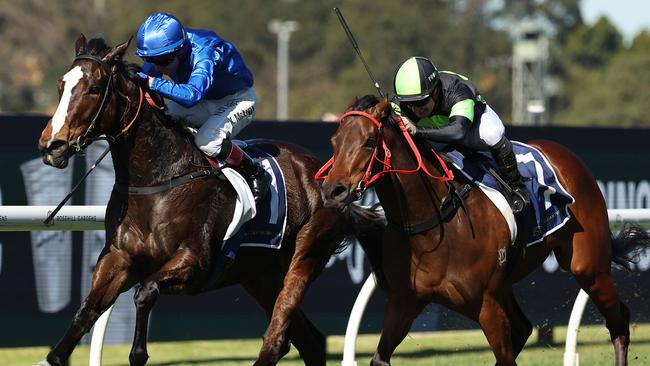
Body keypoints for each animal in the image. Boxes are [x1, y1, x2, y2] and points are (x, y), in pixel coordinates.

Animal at [35, 35, 382, 366]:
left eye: (94, 88)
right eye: (61, 86)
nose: (52, 145)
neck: (157, 179)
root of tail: (330, 176)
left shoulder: (194, 262)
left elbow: (144, 292)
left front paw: (139, 353)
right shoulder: (118, 258)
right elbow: (87, 310)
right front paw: (55, 356)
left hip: (304, 256)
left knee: (284, 336)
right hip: (261, 277)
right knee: (309, 341)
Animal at [318, 95, 648, 366]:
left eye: (368, 141)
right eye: (334, 141)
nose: (333, 190)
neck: (434, 223)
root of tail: (563, 154)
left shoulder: (485, 305)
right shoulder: (404, 302)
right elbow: (379, 358)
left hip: (588, 266)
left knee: (619, 320)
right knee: (525, 327)